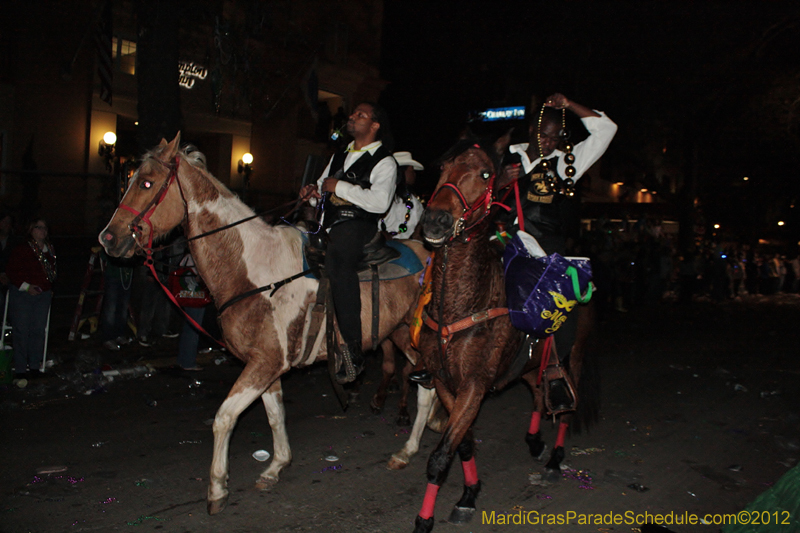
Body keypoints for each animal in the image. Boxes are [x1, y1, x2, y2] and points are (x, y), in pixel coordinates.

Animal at [98, 134, 432, 516]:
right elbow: (275, 414)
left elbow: (224, 418)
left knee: (428, 388)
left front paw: (217, 488)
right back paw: (411, 446)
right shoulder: (267, 363)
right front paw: (275, 466)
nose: (107, 239)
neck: (253, 269)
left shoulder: (265, 363)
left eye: (146, 183)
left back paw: (411, 448)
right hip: (404, 335)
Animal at [412, 141, 592, 532]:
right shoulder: (446, 382)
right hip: (530, 366)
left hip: (574, 358)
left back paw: (553, 459)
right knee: (539, 393)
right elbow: (463, 444)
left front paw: (425, 519)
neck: (460, 306)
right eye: (444, 166)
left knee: (565, 408)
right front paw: (469, 493)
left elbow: (440, 456)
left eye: (485, 174)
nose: (435, 220)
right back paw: (535, 442)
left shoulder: (474, 386)